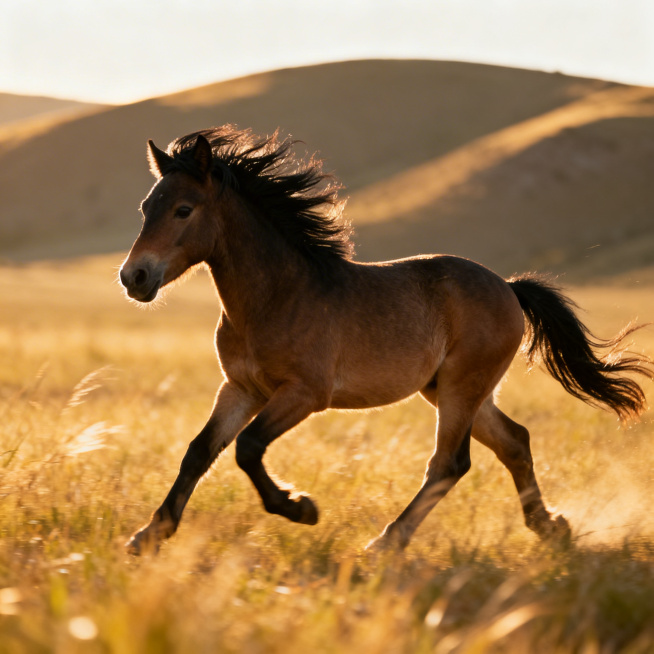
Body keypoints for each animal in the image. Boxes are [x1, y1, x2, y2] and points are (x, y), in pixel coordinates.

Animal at [119, 126, 652, 555]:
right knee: (514, 442)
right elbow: (200, 450)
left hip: (461, 387)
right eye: (146, 208)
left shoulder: (304, 394)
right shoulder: (240, 389)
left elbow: (247, 448)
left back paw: (386, 542)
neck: (276, 297)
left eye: (183, 209)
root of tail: (508, 287)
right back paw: (551, 527)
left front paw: (300, 507)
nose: (133, 277)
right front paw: (149, 535)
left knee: (449, 463)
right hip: (452, 390)